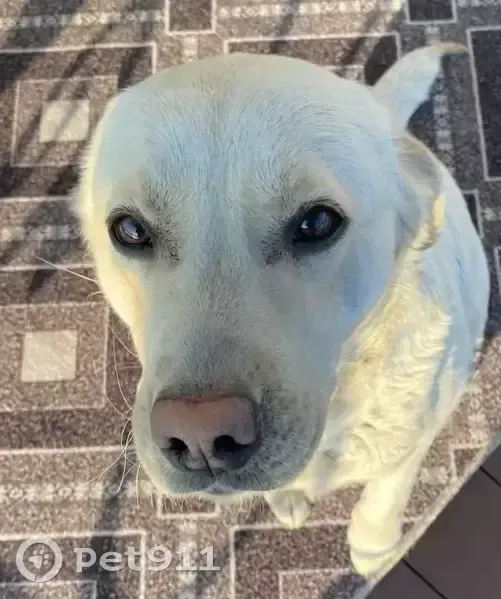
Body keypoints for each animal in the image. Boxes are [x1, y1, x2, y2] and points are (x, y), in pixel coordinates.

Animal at [76, 43, 490, 576]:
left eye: (317, 222)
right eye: (129, 230)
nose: (200, 437)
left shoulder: (414, 441)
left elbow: (385, 495)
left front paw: (374, 548)